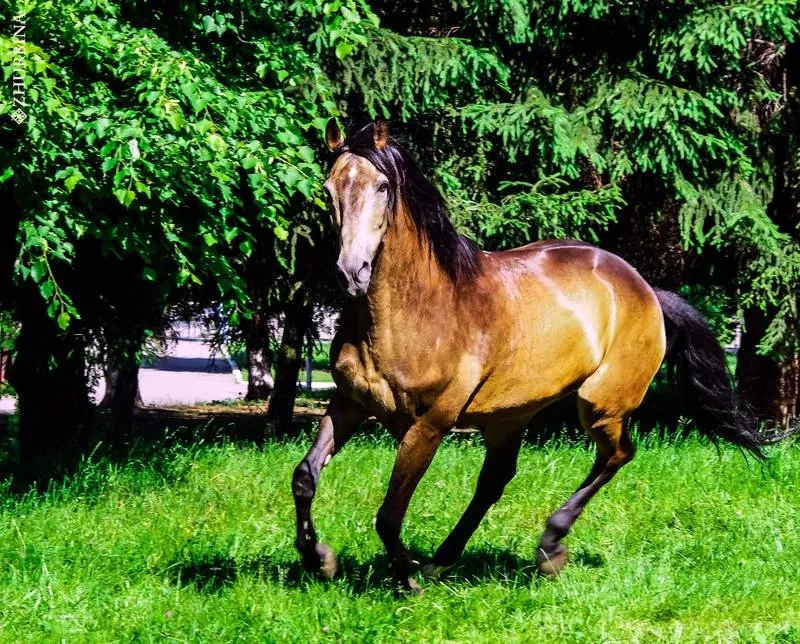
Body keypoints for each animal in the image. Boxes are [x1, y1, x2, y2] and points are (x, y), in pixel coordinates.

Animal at [290, 119, 764, 592]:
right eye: (329, 188)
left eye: (383, 186)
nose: (351, 273)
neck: (418, 311)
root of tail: (646, 289)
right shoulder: (349, 403)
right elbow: (305, 477)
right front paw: (320, 559)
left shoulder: (430, 424)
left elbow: (389, 513)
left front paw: (405, 580)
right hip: (510, 415)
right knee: (495, 481)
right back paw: (443, 561)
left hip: (600, 405)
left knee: (617, 455)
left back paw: (549, 547)